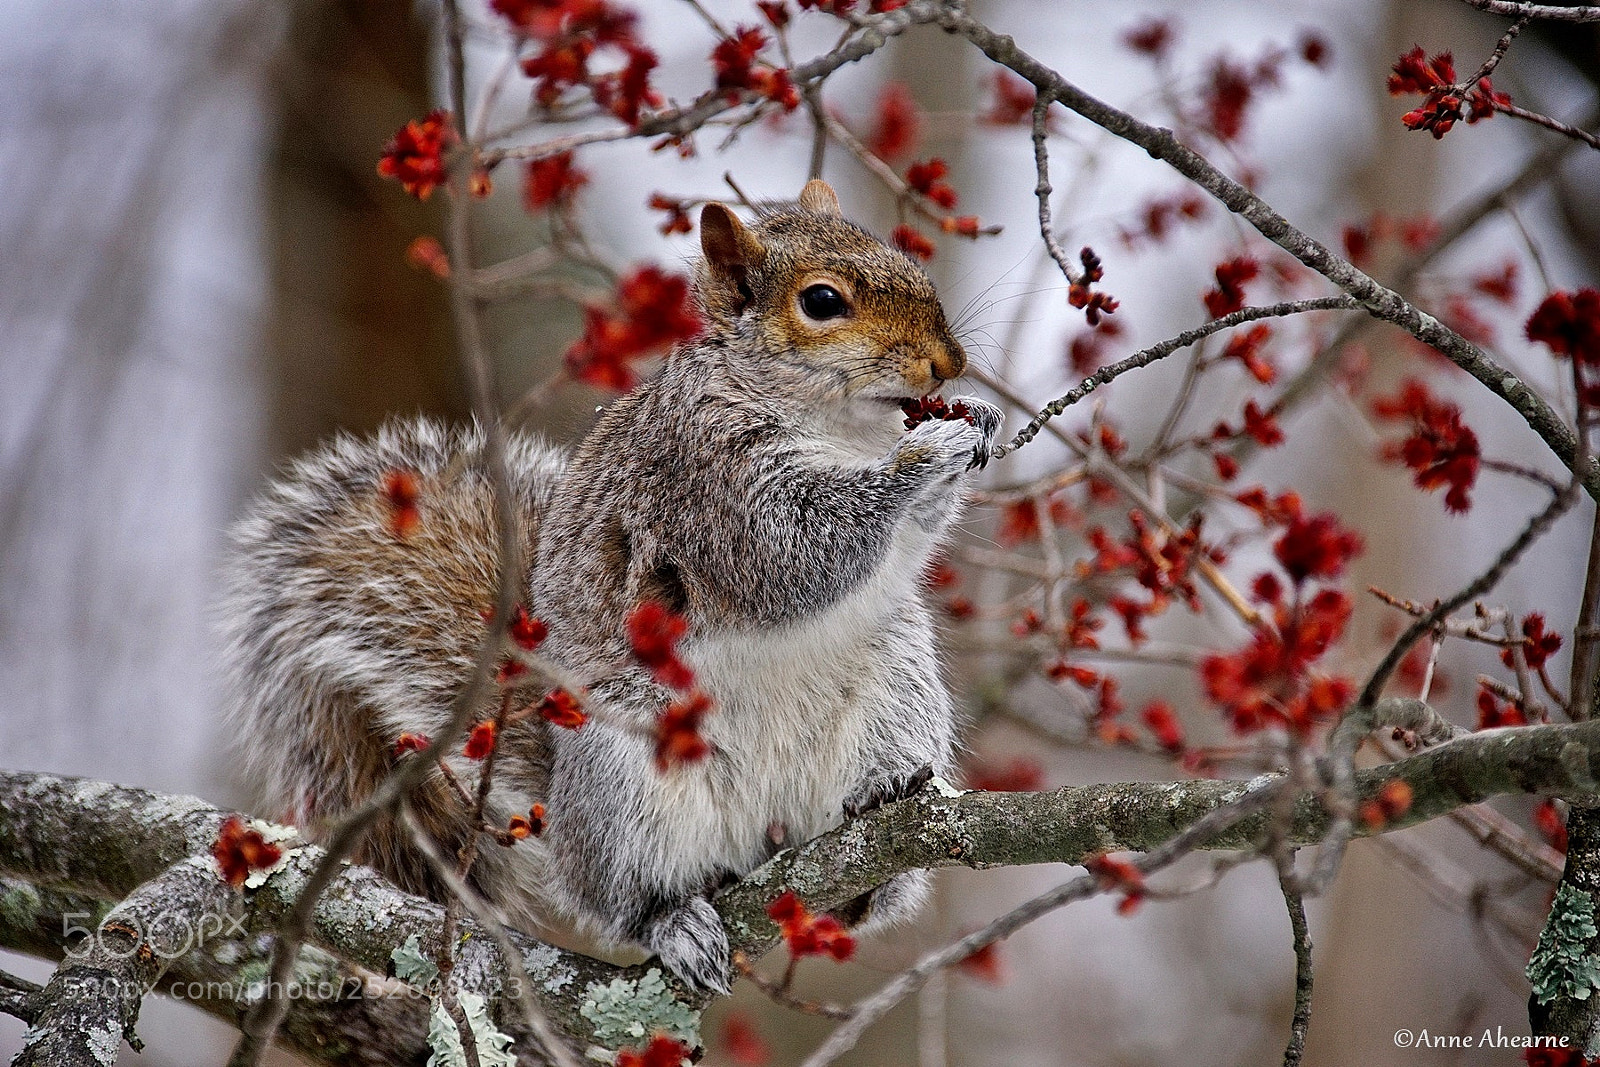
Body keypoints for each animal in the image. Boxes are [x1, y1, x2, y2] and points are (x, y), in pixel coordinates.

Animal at [220, 178, 1002, 993]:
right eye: (822, 302)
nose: (949, 362)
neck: (838, 428)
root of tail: (762, 835)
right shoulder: (706, 483)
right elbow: (795, 551)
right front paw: (924, 451)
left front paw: (976, 419)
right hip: (627, 774)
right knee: (624, 898)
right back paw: (674, 921)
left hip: (896, 692)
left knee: (864, 879)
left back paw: (880, 804)